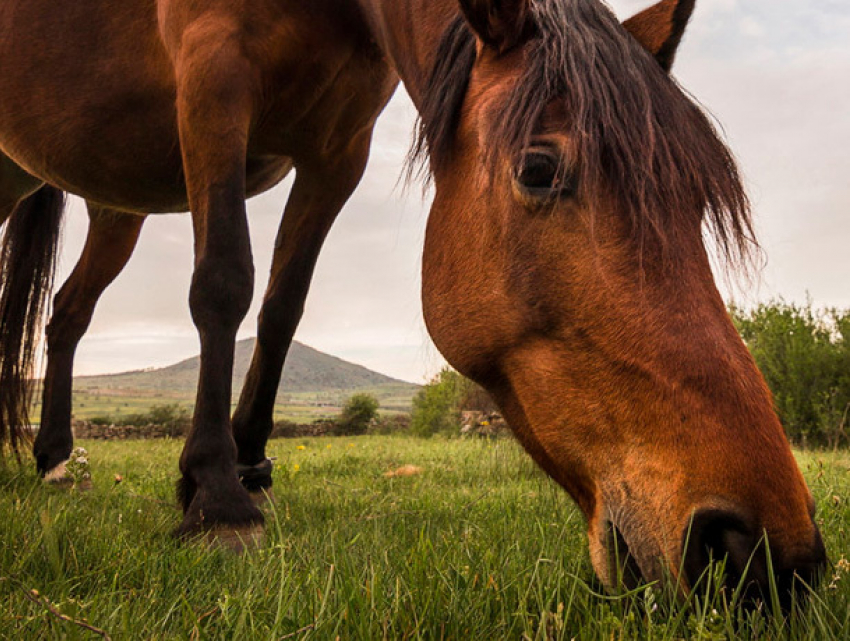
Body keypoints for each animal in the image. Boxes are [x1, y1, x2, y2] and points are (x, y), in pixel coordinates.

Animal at [0, 0, 824, 608]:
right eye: (538, 168)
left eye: (696, 200)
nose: (763, 554)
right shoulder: (213, 78)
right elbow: (224, 281)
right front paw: (217, 494)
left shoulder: (339, 147)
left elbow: (284, 305)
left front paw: (251, 465)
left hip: (107, 201)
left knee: (67, 312)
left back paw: (54, 459)